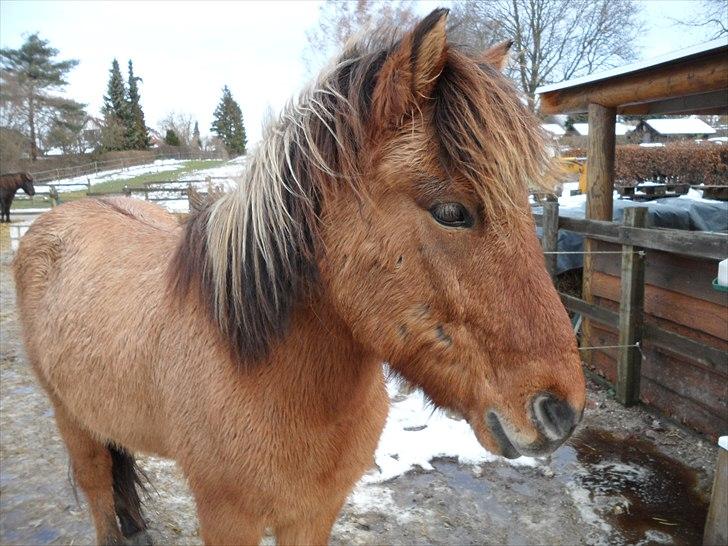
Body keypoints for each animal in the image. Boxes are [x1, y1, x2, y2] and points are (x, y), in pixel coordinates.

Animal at [14, 8, 584, 544]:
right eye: (451, 211)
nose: (561, 412)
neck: (263, 369)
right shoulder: (227, 519)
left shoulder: (315, 513)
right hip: (71, 419)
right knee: (97, 487)